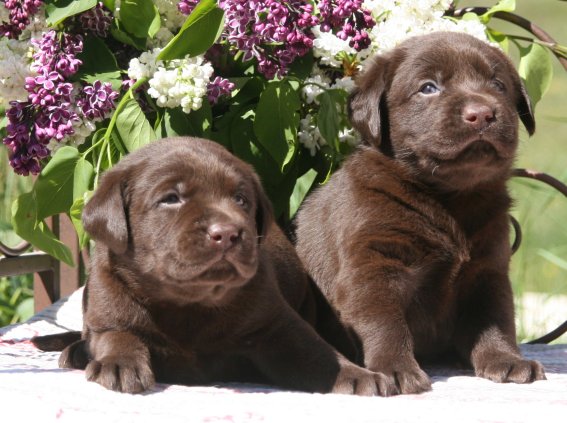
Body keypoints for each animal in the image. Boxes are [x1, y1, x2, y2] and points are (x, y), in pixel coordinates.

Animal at [32, 136, 395, 396]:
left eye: (241, 200)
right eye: (171, 199)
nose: (228, 233)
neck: (187, 304)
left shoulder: (275, 324)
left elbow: (317, 354)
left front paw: (359, 376)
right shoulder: (109, 310)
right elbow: (118, 336)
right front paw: (118, 364)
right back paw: (77, 352)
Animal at [295, 32, 546, 394]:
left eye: (498, 85)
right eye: (428, 87)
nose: (482, 113)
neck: (450, 198)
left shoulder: (488, 269)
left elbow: (495, 319)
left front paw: (507, 361)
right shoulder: (371, 265)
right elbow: (384, 322)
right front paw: (395, 369)